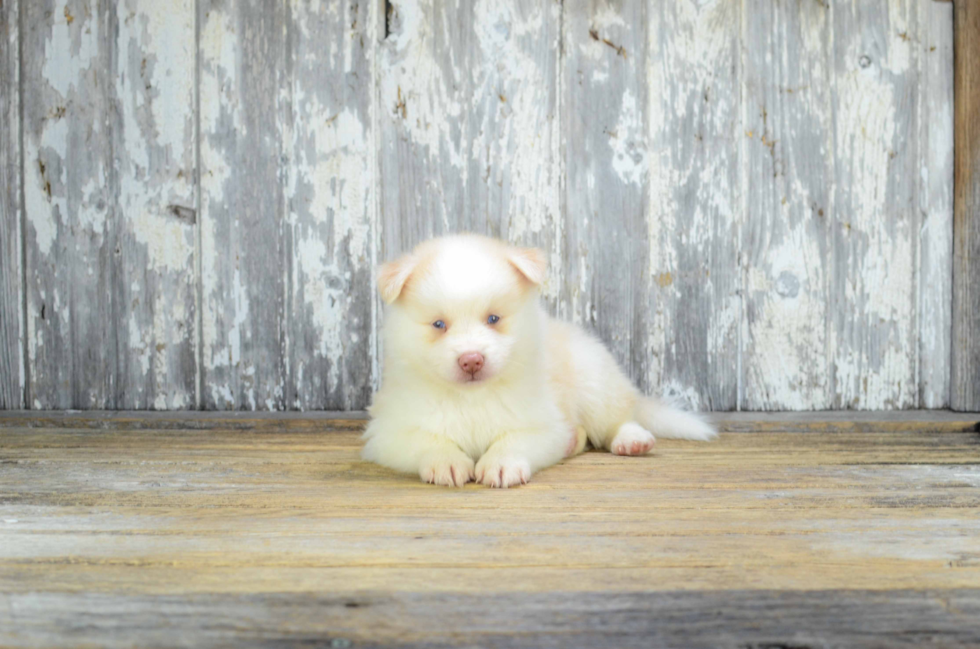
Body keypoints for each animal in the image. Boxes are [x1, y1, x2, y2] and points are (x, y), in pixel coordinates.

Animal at [364, 235, 716, 488]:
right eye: (439, 325)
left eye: (493, 319)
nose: (472, 361)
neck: (472, 397)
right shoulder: (391, 431)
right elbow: (428, 440)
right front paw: (446, 461)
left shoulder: (542, 423)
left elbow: (513, 440)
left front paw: (501, 463)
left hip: (594, 382)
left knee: (617, 419)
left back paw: (632, 440)